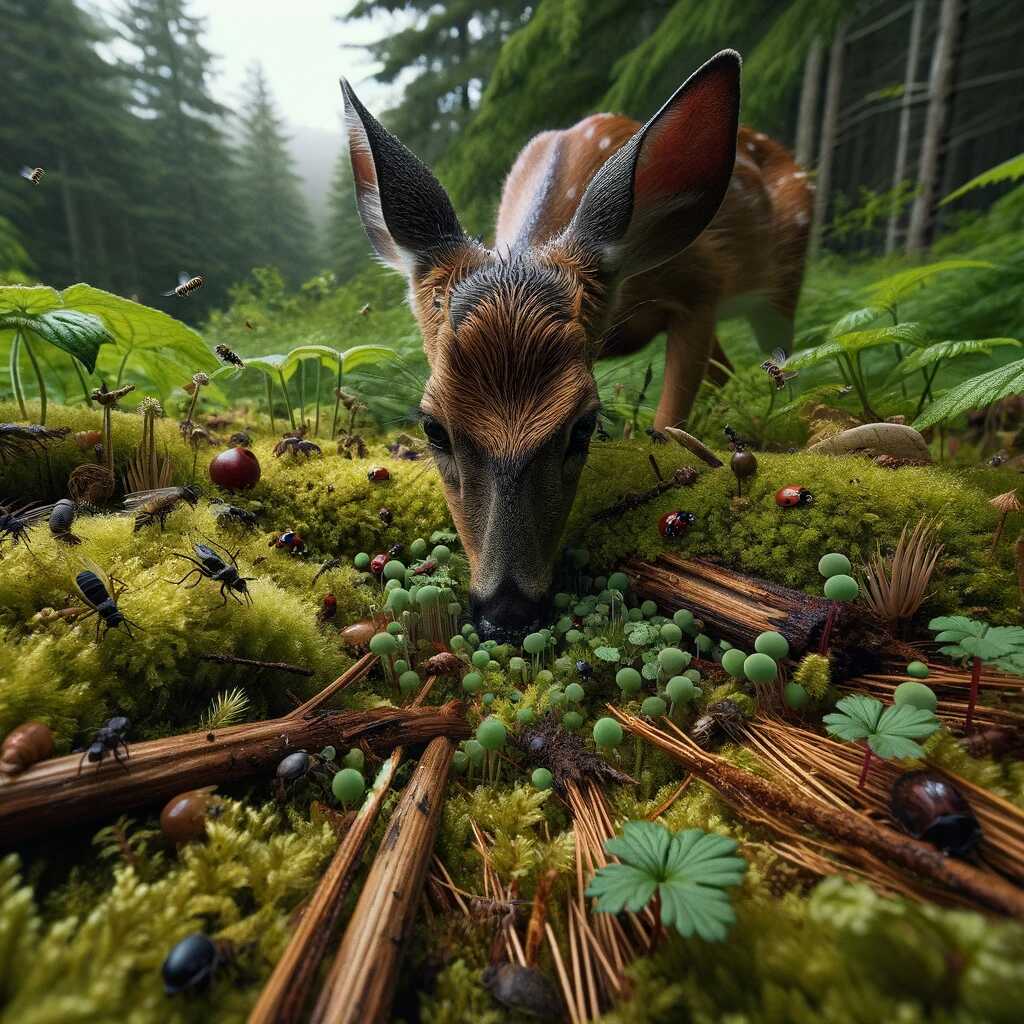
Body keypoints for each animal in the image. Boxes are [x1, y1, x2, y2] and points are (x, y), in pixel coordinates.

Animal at [340, 49, 812, 642]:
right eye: (432, 427)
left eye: (584, 425)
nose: (506, 611)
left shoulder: (701, 289)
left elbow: (669, 416)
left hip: (785, 280)